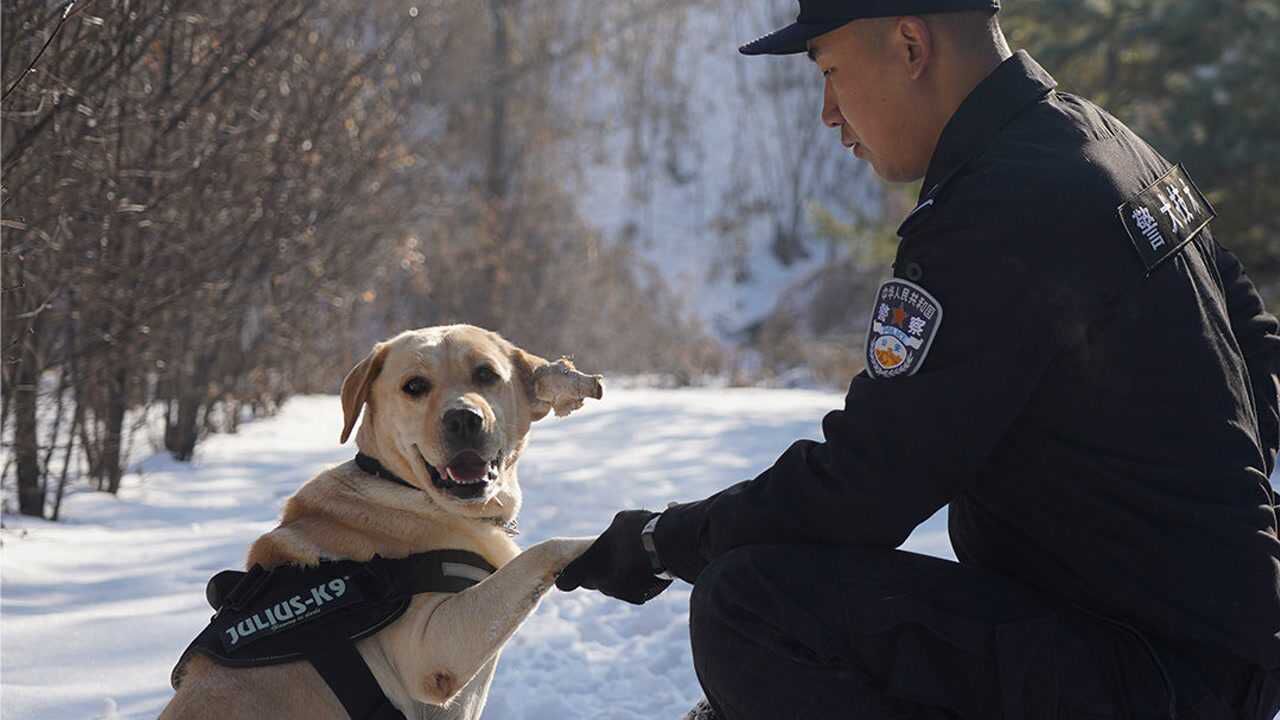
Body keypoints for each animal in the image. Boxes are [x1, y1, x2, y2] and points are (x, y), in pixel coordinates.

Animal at [158, 325, 604, 717]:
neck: (403, 486)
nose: (463, 419)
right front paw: (603, 541)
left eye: (486, 374)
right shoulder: (431, 648)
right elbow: (545, 550)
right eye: (414, 386)